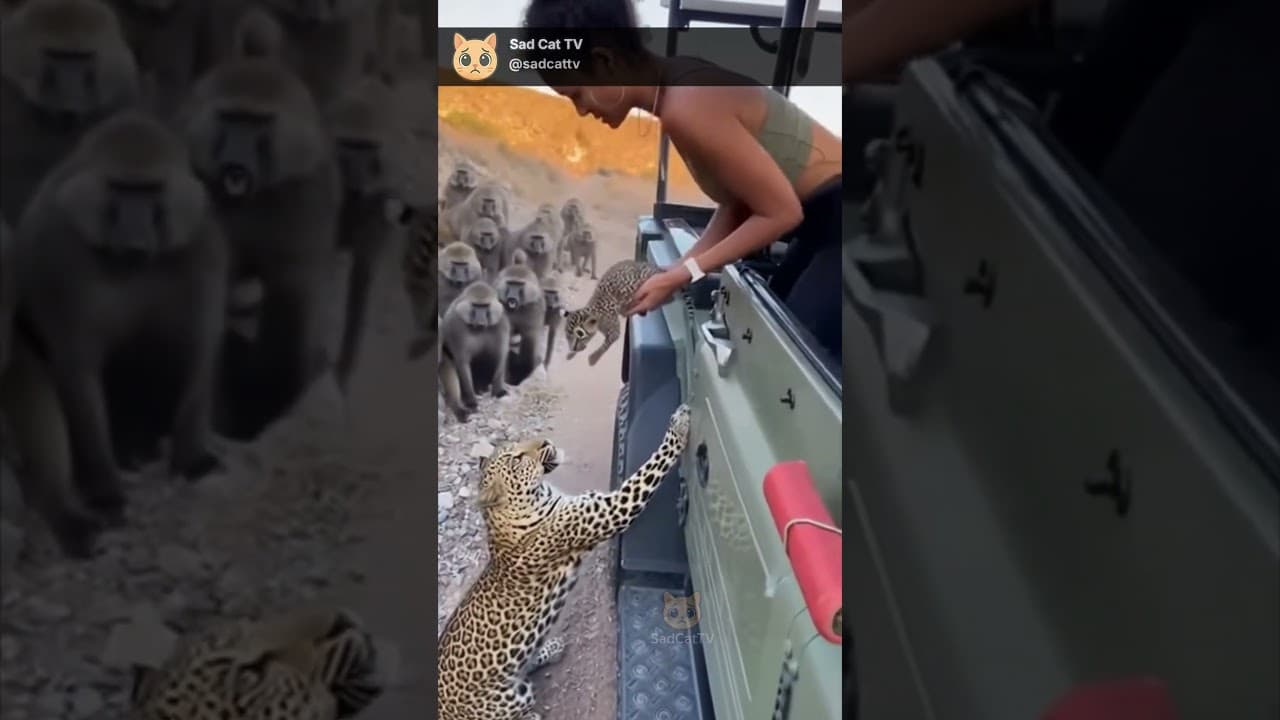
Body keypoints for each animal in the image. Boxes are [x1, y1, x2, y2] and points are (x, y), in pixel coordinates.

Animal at [437, 403, 693, 720]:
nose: (545, 442)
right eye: (517, 458)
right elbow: (649, 469)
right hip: (513, 697)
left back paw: (551, 647)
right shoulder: (610, 510)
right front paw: (678, 425)